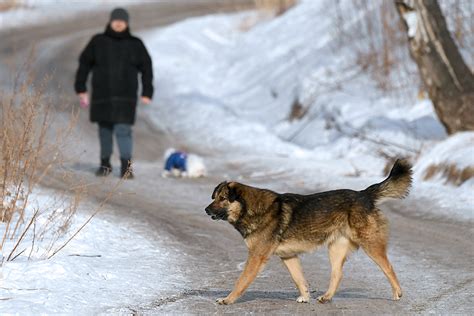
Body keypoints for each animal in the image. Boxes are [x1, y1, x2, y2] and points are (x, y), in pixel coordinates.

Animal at [206, 160, 412, 304]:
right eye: (214, 197)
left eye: (223, 198)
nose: (206, 210)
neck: (251, 209)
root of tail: (364, 194)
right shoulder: (288, 256)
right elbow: (299, 279)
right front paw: (305, 297)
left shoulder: (256, 257)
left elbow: (241, 282)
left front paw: (227, 299)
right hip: (336, 250)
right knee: (337, 274)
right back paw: (326, 297)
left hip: (371, 244)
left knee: (388, 267)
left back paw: (397, 292)